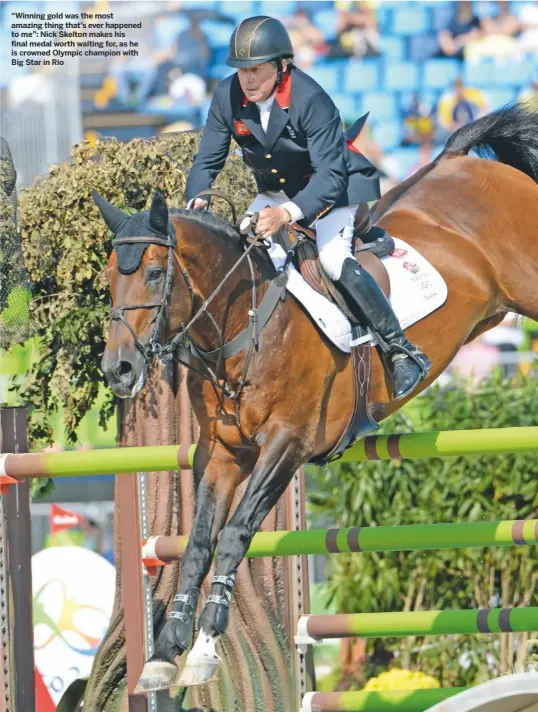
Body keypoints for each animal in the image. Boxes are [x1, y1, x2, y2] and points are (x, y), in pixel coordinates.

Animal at [95, 104, 536, 688]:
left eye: (152, 272)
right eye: (107, 279)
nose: (119, 370)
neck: (244, 324)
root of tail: (464, 161)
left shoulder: (287, 444)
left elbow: (235, 535)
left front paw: (207, 646)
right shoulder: (223, 452)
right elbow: (197, 545)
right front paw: (166, 655)